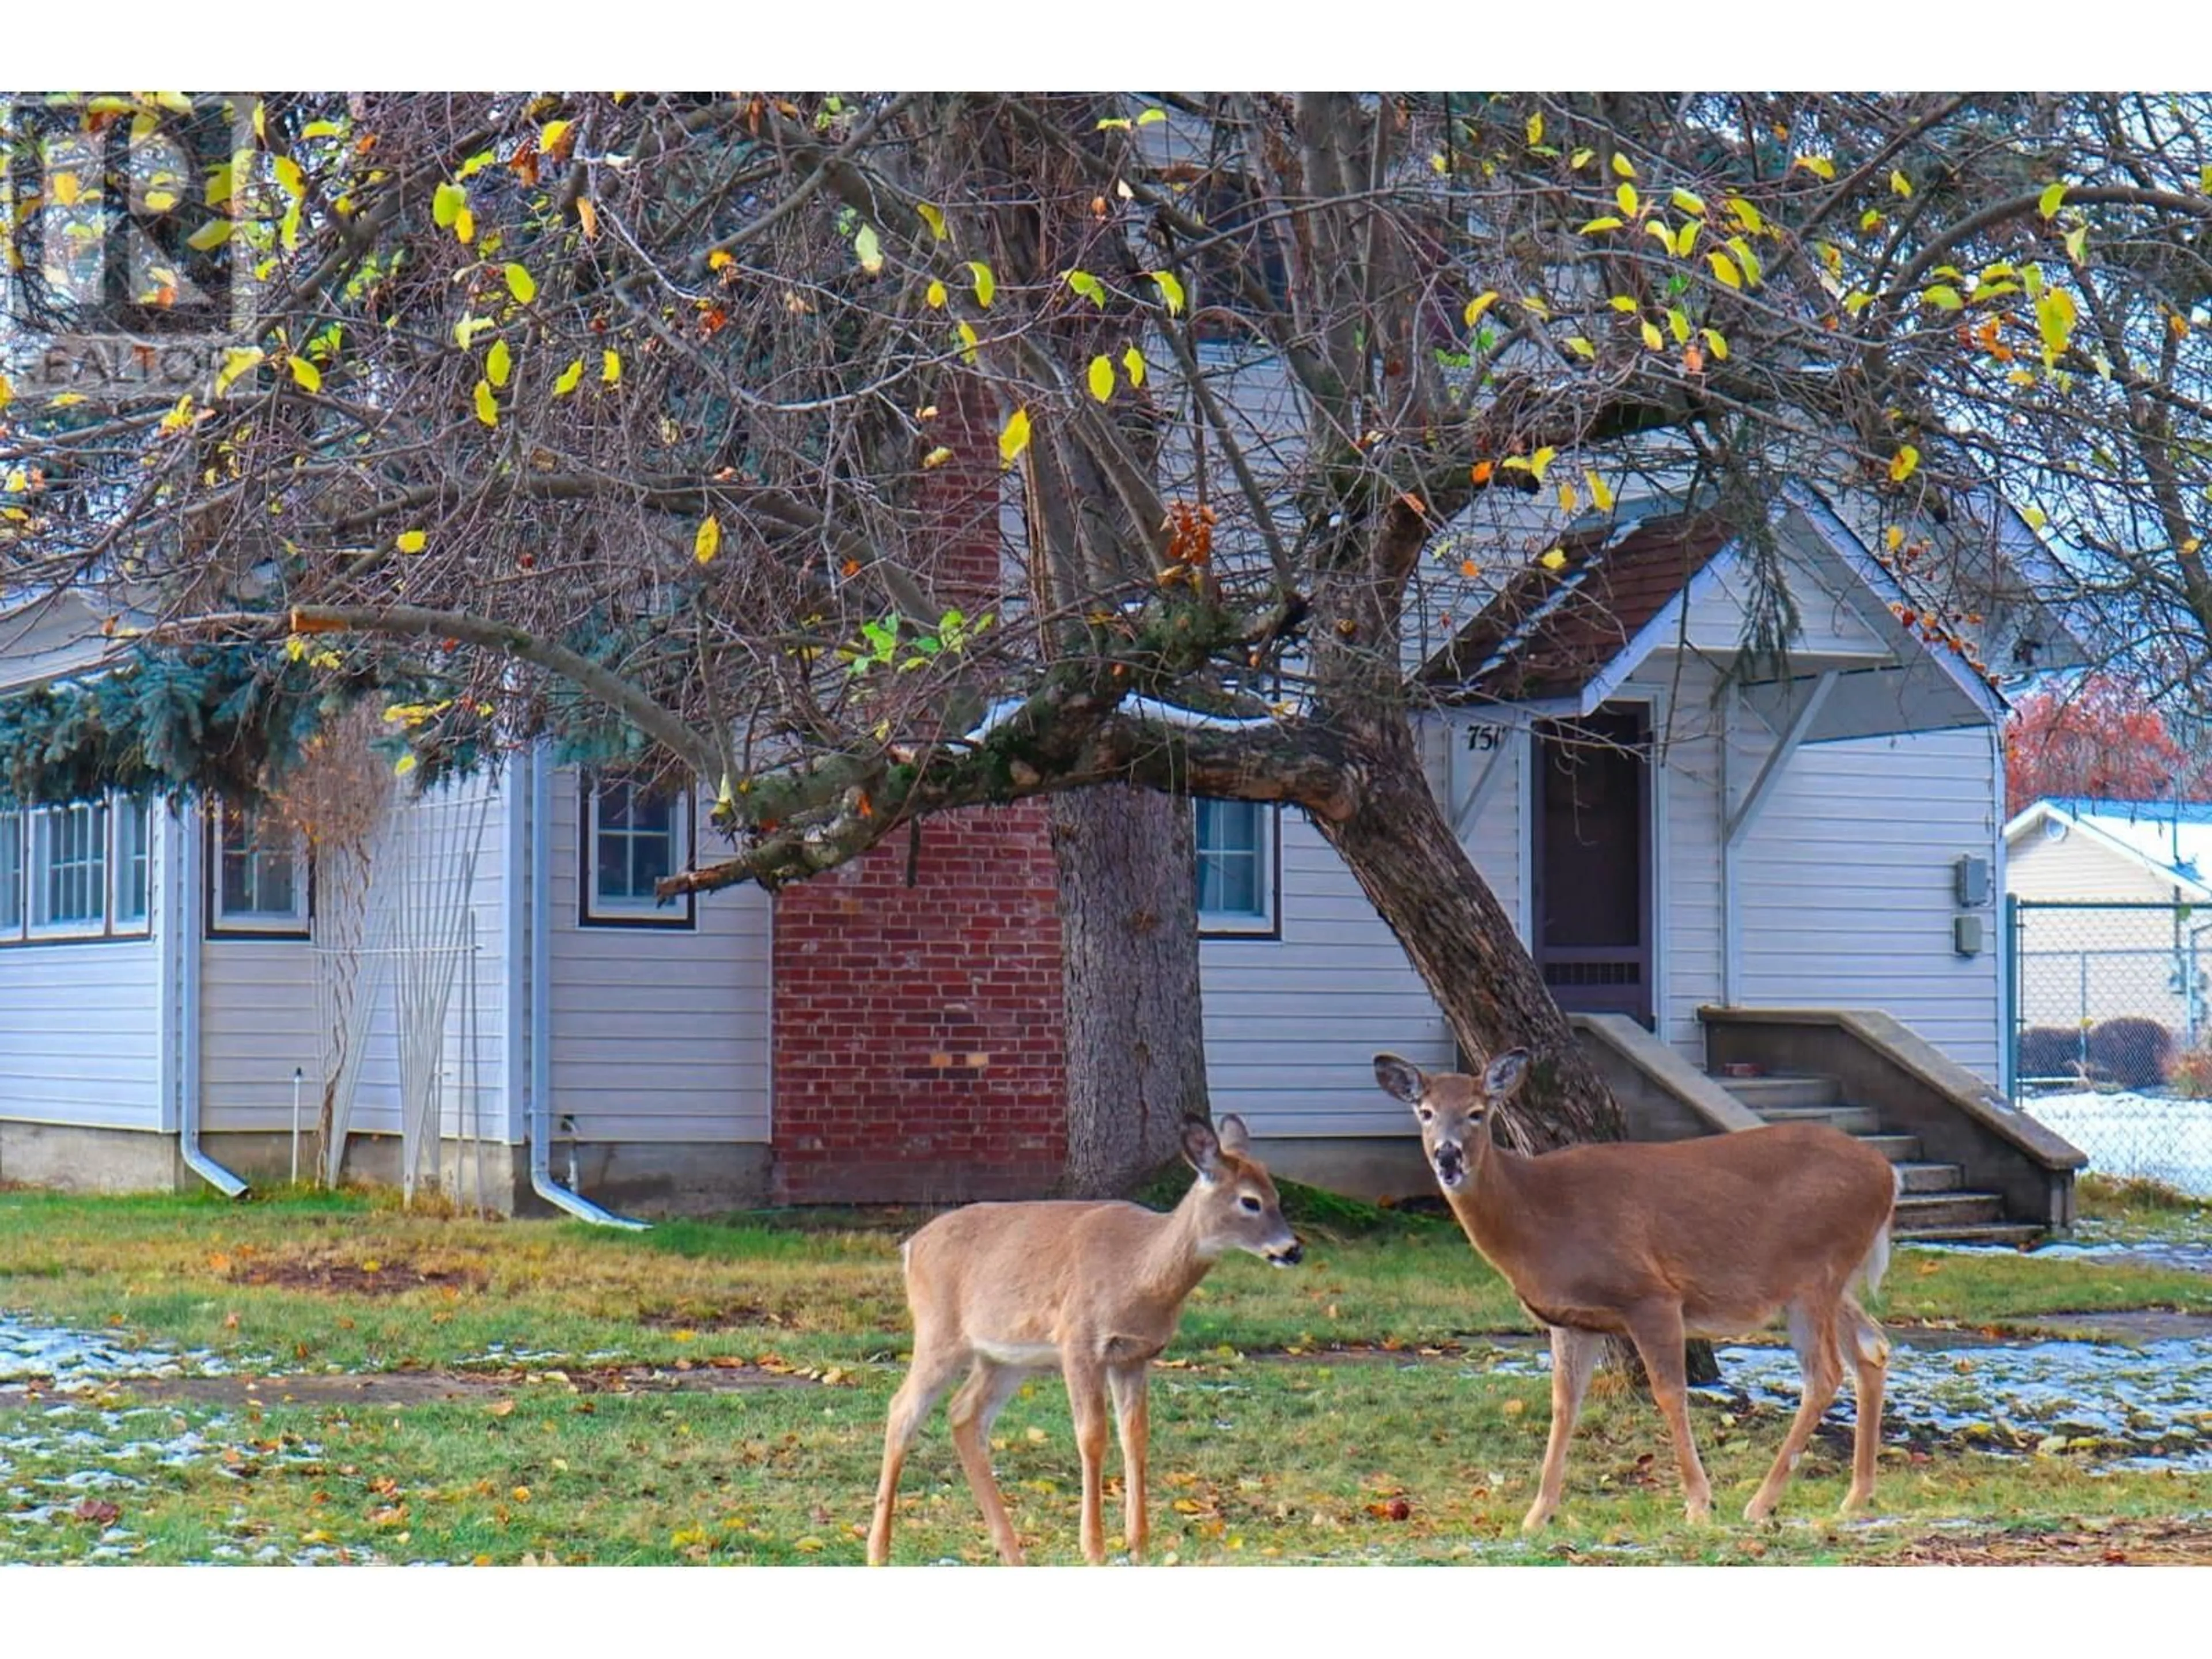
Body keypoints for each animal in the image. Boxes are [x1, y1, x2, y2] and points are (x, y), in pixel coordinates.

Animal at [871, 1119, 1300, 1575]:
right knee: (903, 1410)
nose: (1293, 1249)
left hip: (1004, 1358)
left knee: (965, 1414)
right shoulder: (1079, 1341)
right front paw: (1093, 1547)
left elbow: (1136, 1436)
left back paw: (1011, 1551)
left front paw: (1138, 1544)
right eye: (1250, 1201)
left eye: (1277, 1195)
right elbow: (1092, 1435)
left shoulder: (1134, 1356)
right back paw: (878, 1550)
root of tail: (911, 1247)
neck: (1141, 1270)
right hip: (939, 1331)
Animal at [1371, 1052, 1893, 1531]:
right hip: (1826, 1282)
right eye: (1425, 1111)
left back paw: (1762, 1503)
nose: (1448, 1156)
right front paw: (1538, 1515)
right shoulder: (1572, 1321)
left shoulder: (1651, 1296)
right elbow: (1564, 1405)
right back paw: (1856, 1496)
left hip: (1816, 1273)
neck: (1537, 1216)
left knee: (1825, 1373)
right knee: (1873, 1348)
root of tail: (1888, 1174)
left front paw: (1699, 1503)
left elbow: (1670, 1393)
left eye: (1478, 1111)